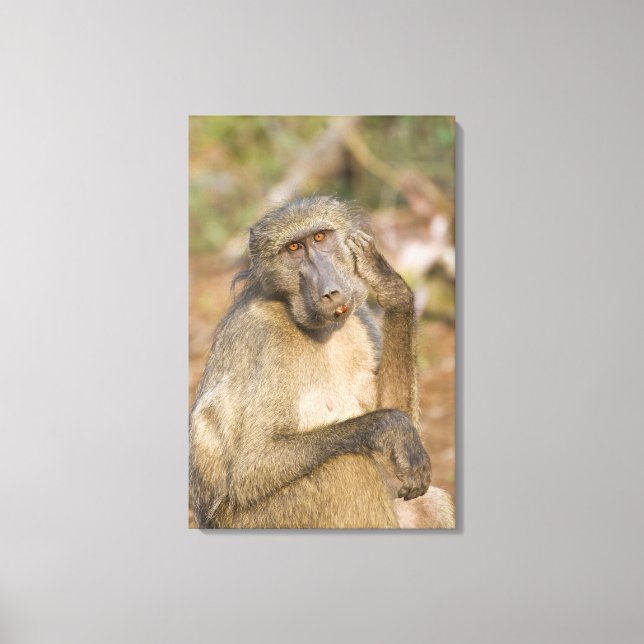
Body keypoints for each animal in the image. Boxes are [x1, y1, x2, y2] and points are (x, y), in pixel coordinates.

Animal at [189, 195, 455, 529]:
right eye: (293, 248)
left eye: (319, 237)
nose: (331, 292)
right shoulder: (263, 335)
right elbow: (252, 465)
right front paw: (390, 427)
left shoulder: (361, 318)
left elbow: (402, 420)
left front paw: (389, 283)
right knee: (343, 464)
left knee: (429, 502)